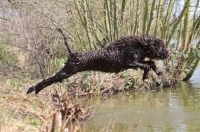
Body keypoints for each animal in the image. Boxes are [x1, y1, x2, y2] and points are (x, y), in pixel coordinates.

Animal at [27, 28, 170, 94]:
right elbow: (147, 65)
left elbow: (150, 63)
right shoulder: (130, 63)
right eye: (159, 46)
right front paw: (146, 76)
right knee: (47, 80)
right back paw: (33, 89)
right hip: (67, 72)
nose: (169, 53)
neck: (137, 46)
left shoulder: (137, 61)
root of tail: (73, 54)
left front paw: (156, 72)